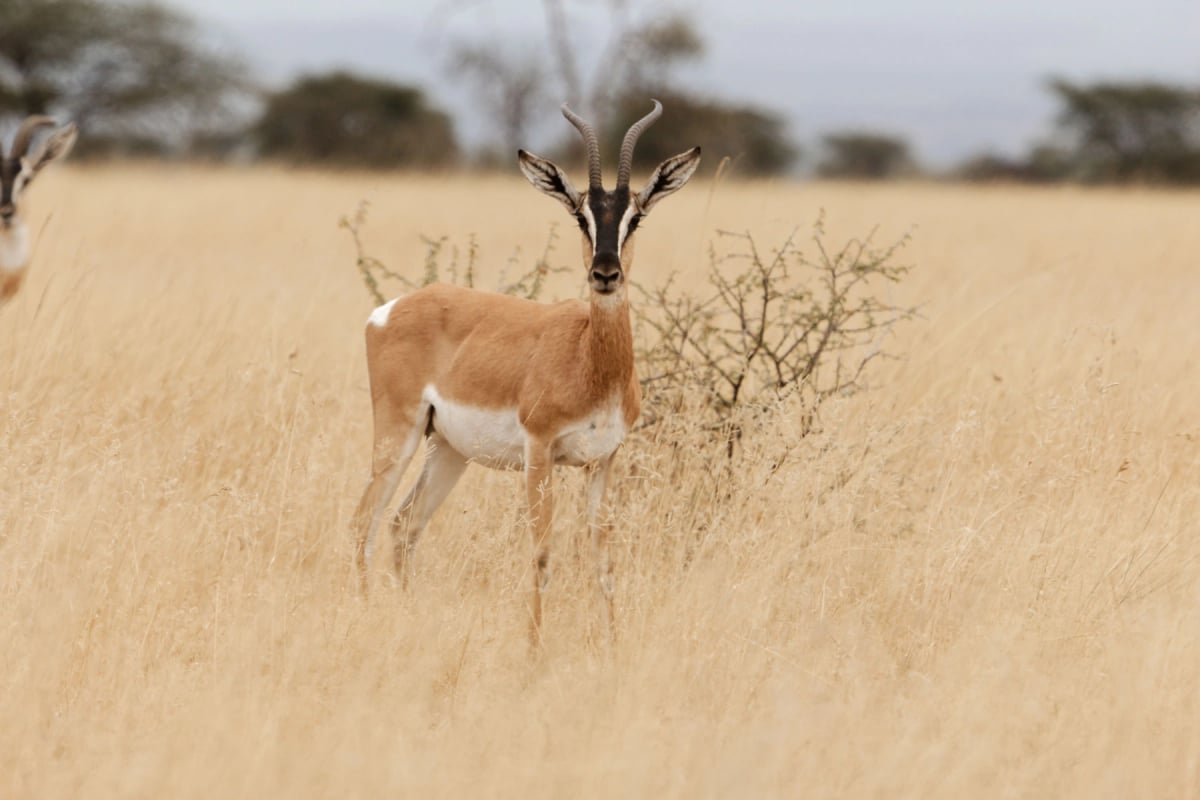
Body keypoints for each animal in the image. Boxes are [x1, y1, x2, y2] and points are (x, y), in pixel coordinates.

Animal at [351, 100, 700, 643]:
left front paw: (612, 645)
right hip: (398, 434)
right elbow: (541, 553)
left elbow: (603, 561)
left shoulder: (604, 461)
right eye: (580, 215)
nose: (605, 274)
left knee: (404, 524)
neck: (588, 359)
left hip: (447, 449)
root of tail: (390, 309)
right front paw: (535, 647)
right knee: (363, 521)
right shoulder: (540, 453)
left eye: (635, 217)